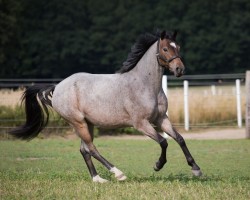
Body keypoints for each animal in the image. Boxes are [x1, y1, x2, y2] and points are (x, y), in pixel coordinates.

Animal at [9, 30, 202, 182]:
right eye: (165, 49)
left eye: (178, 47)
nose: (179, 69)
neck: (144, 84)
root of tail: (57, 87)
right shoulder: (141, 124)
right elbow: (163, 142)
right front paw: (157, 165)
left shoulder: (161, 118)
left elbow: (179, 139)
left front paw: (196, 169)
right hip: (78, 122)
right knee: (91, 149)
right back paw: (118, 174)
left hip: (87, 123)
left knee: (84, 149)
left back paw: (98, 179)